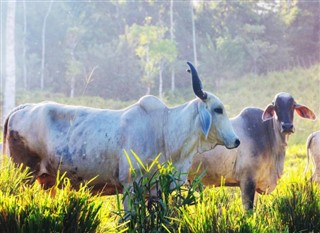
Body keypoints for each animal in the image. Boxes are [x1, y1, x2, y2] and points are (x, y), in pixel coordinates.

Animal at [3, 62, 240, 198]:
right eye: (218, 109)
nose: (237, 140)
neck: (165, 130)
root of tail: (22, 107)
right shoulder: (130, 185)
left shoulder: (155, 191)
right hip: (24, 176)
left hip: (46, 182)